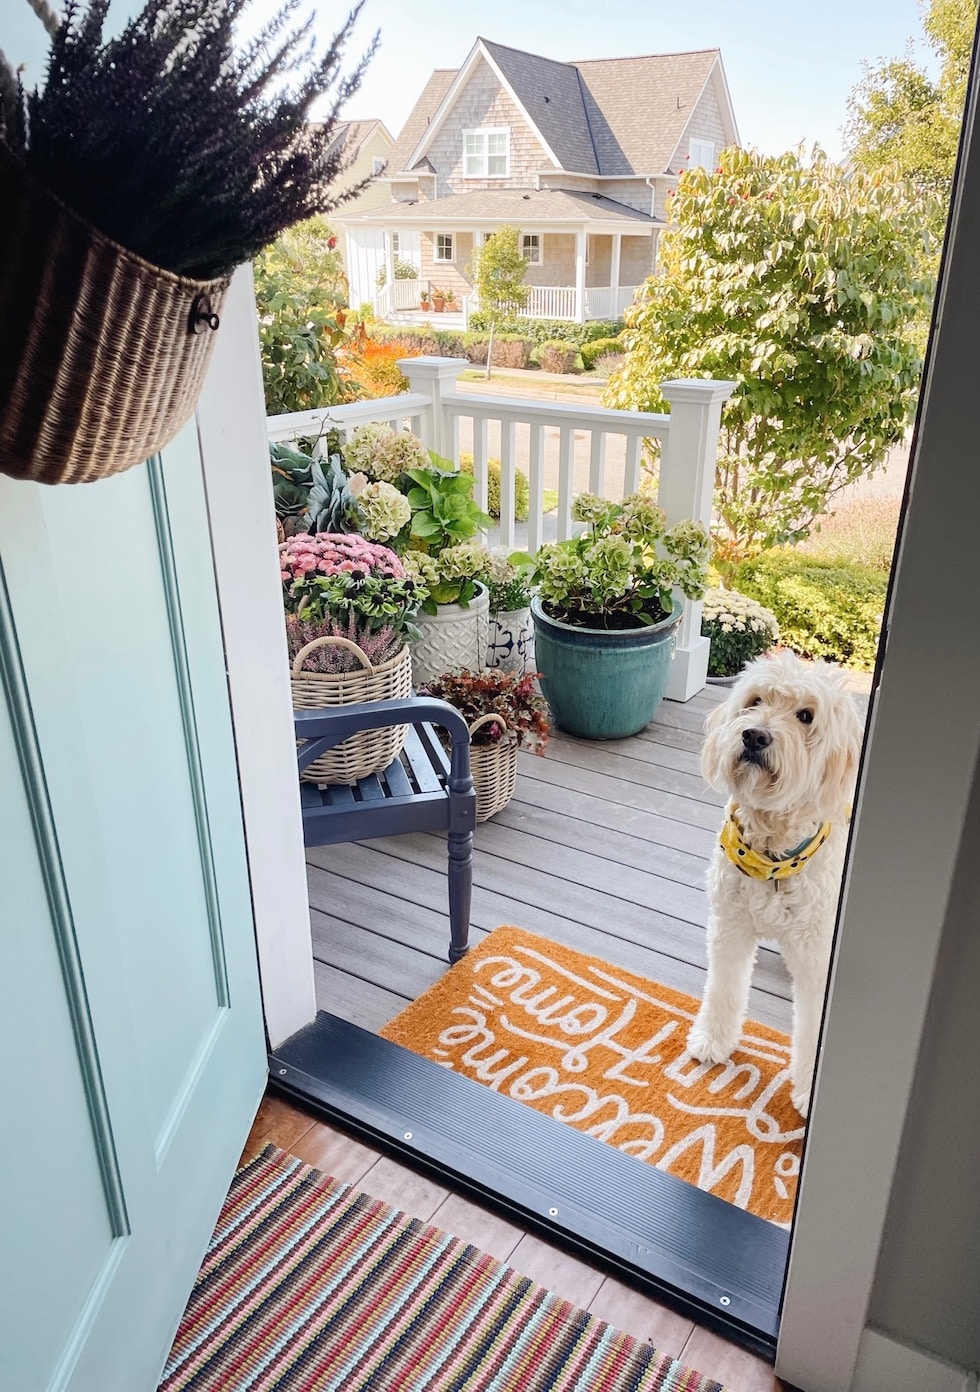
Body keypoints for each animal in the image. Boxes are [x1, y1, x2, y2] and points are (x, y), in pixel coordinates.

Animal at [684, 651, 863, 1119]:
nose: (754, 736)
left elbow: (813, 1028)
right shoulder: (730, 927)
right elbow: (724, 988)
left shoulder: (817, 958)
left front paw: (808, 1092)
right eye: (755, 701)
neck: (771, 856)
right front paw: (713, 1041)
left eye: (806, 716)